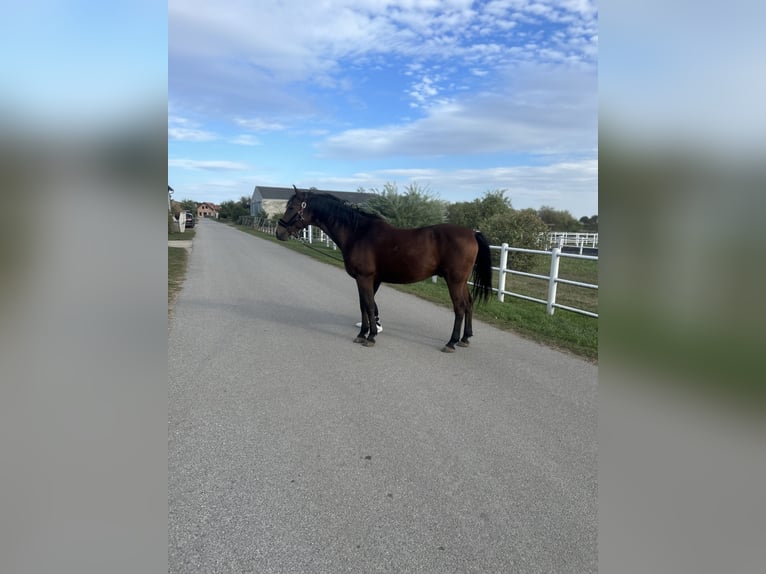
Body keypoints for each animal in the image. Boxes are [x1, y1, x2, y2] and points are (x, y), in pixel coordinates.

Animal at [275, 186, 493, 352]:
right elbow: (364, 305)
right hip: (461, 281)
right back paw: (465, 338)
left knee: (459, 308)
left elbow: (369, 306)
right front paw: (363, 333)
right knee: (469, 304)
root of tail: (472, 233)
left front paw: (370, 336)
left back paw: (451, 342)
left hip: (454, 281)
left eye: (292, 207)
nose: (279, 232)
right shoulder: (367, 280)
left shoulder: (365, 278)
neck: (357, 233)